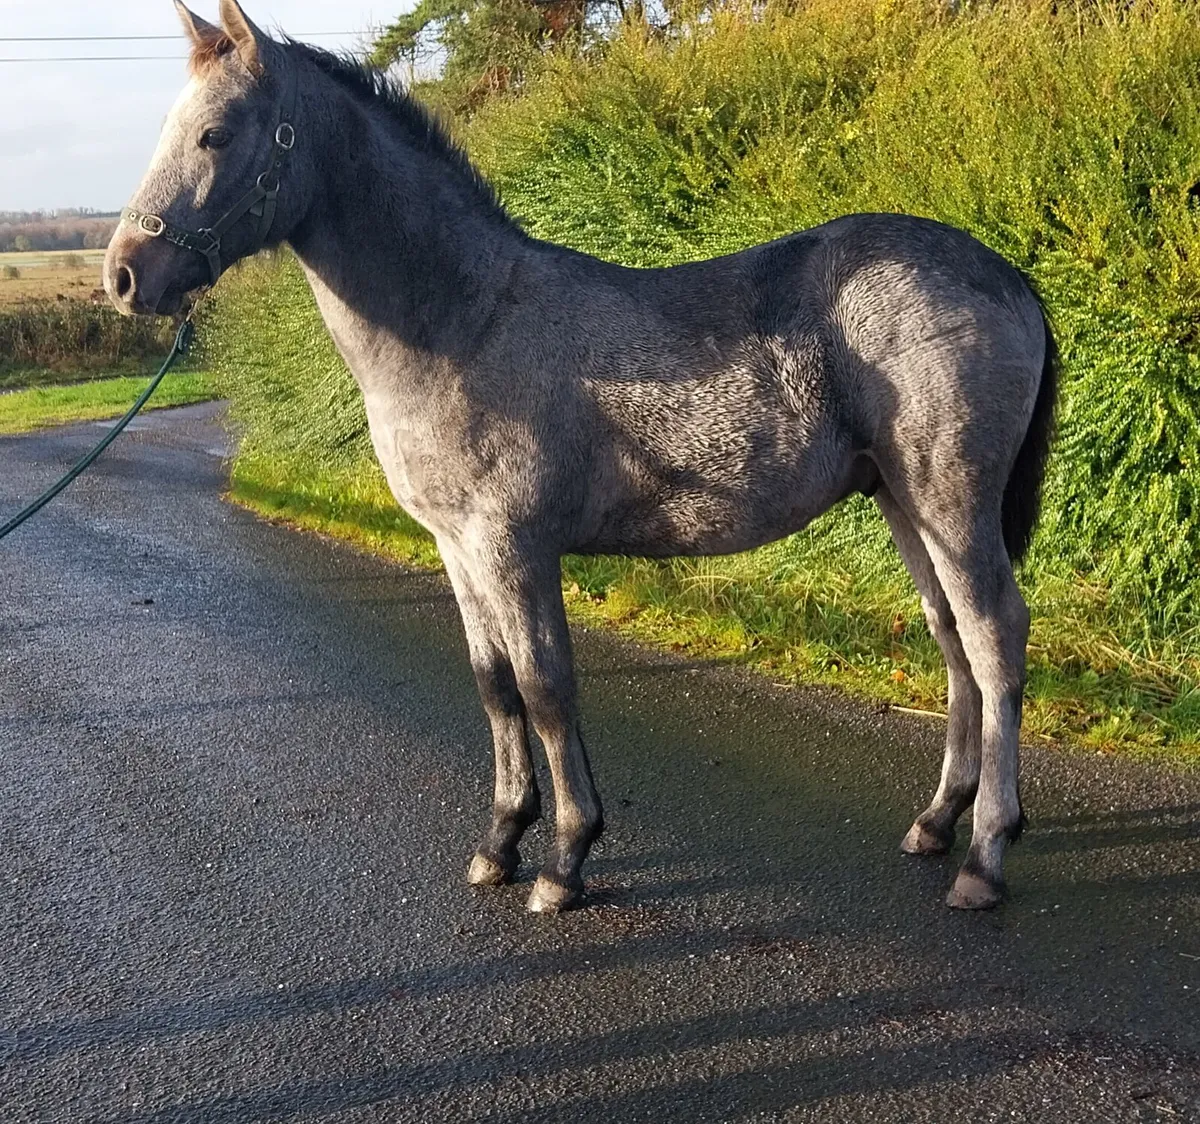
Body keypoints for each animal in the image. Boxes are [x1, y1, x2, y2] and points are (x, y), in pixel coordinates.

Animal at [105, 0, 1056, 913]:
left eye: (215, 133)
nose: (123, 275)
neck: (465, 320)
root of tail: (1003, 272)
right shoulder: (457, 548)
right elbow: (495, 685)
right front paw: (499, 845)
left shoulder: (515, 547)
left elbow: (546, 687)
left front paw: (564, 861)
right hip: (899, 499)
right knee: (951, 638)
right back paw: (937, 821)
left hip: (950, 501)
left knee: (995, 637)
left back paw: (985, 855)